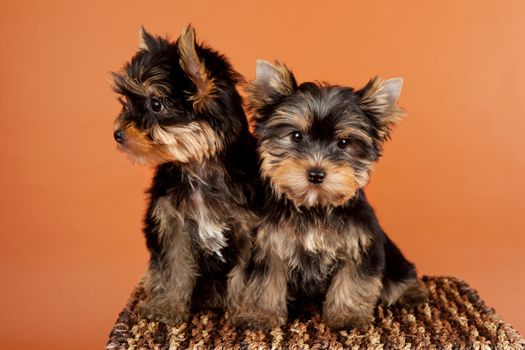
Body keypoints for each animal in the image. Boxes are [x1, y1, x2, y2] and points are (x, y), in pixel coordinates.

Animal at [111, 26, 258, 324]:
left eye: (156, 104)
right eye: (127, 101)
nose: (117, 134)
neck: (197, 165)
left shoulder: (247, 228)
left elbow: (245, 274)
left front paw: (245, 310)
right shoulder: (171, 221)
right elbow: (174, 265)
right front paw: (166, 306)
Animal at [235, 60, 428, 330]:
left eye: (343, 143)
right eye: (296, 136)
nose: (316, 173)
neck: (315, 206)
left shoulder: (361, 244)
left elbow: (354, 281)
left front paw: (347, 316)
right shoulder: (270, 244)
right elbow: (264, 282)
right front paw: (260, 315)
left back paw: (411, 292)